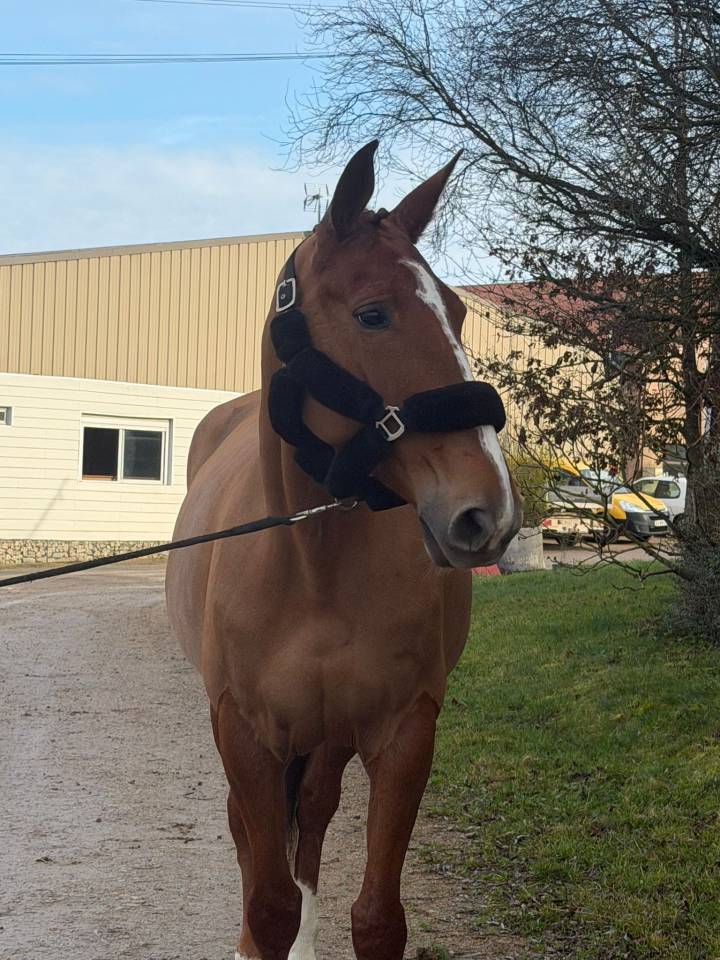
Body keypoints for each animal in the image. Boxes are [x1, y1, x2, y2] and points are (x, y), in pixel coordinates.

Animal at [165, 140, 522, 960]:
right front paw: (258, 936)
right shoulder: (245, 735)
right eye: (372, 314)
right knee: (254, 839)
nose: (486, 512)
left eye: (458, 311)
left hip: (328, 739)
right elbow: (266, 903)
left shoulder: (403, 734)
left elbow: (376, 915)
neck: (312, 566)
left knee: (317, 817)